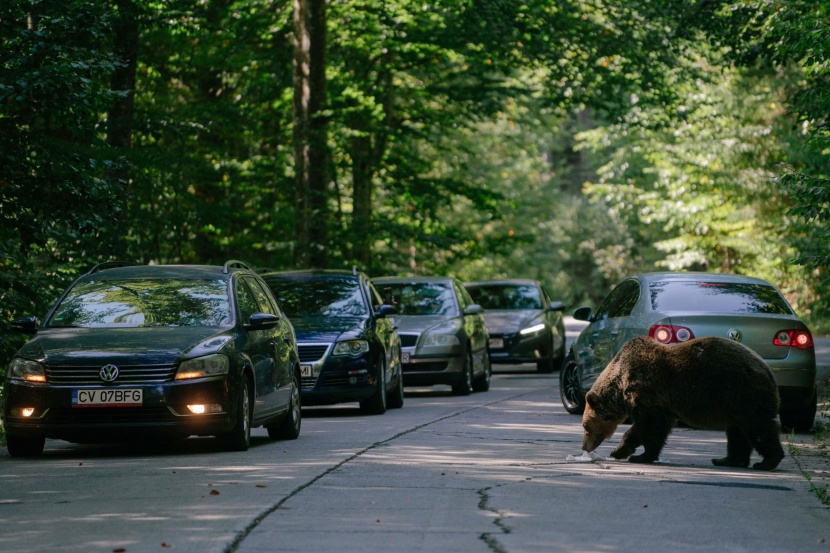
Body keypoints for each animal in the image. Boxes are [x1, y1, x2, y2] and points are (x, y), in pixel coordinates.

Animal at [580, 334, 784, 468]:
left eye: (585, 426)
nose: (584, 446)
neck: (620, 384)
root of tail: (768, 371)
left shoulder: (646, 390)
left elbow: (650, 425)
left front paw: (636, 455)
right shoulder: (662, 404)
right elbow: (655, 426)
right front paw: (623, 451)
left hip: (743, 392)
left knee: (758, 427)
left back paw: (767, 461)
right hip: (735, 402)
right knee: (737, 431)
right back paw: (727, 460)